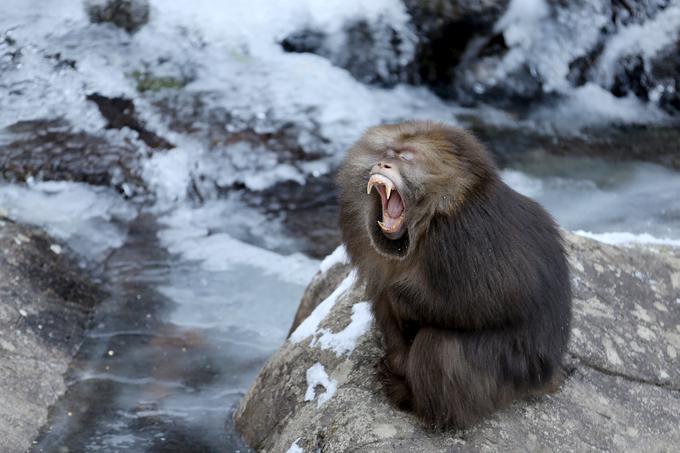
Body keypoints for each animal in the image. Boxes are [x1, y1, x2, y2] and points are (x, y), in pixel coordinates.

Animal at [338, 121, 572, 430]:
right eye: (388, 152)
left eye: (406, 157)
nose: (382, 163)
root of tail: (549, 375)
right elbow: (381, 297)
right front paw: (397, 358)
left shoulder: (460, 235)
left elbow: (484, 304)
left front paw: (401, 296)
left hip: (508, 375)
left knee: (439, 345)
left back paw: (422, 407)